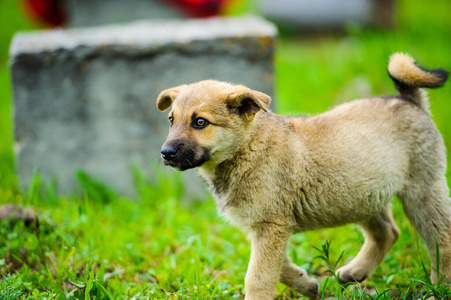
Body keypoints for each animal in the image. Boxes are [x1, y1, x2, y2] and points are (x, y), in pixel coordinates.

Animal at [156, 54, 451, 300]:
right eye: (171, 120)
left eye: (200, 122)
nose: (166, 153)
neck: (248, 148)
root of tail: (409, 100)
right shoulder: (266, 228)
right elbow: (279, 267)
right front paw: (307, 284)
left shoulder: (270, 226)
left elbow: (258, 276)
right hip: (362, 195)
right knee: (388, 232)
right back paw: (354, 272)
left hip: (423, 192)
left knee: (441, 240)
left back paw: (441, 287)